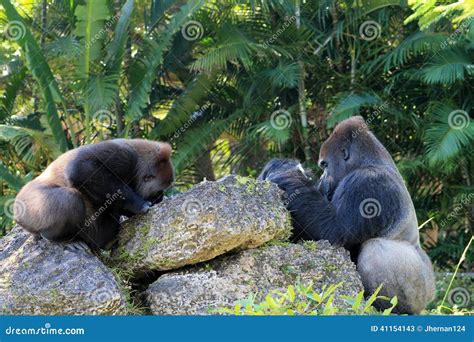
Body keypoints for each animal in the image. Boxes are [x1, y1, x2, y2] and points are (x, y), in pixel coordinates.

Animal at [14, 140, 174, 251]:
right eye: (158, 192)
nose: (160, 198)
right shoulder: (125, 157)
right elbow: (80, 169)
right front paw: (139, 204)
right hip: (26, 206)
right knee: (70, 199)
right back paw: (61, 240)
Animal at [262, 116, 436, 314]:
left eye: (325, 165)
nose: (321, 179)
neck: (369, 161)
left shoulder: (367, 182)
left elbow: (334, 231)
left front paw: (289, 176)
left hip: (422, 291)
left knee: (377, 250)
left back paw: (392, 307)